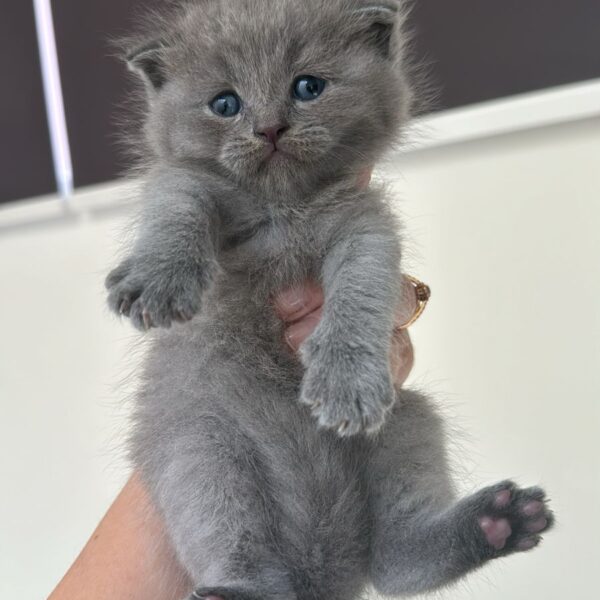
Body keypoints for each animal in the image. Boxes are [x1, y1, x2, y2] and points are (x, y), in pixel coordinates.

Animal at [106, 1, 552, 600]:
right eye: (224, 103)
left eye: (308, 86)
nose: (270, 127)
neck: (284, 210)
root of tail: (318, 572)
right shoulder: (182, 179)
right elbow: (176, 205)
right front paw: (160, 278)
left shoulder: (366, 227)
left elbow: (361, 291)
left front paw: (345, 382)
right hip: (202, 452)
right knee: (243, 545)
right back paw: (239, 589)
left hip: (407, 417)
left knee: (395, 564)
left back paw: (496, 521)